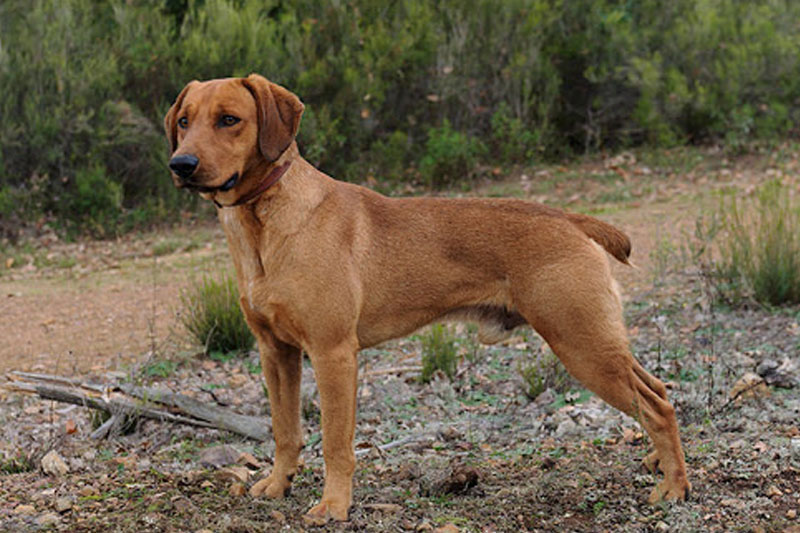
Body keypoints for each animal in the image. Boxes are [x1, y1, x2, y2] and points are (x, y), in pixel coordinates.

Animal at [166, 72, 692, 520]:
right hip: (598, 341)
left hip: (582, 345)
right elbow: (285, 431)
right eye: (185, 121)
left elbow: (335, 443)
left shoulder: (333, 354)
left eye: (229, 119)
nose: (181, 165)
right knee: (657, 391)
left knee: (659, 407)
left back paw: (674, 487)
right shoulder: (276, 352)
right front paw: (278, 485)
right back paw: (658, 463)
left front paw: (333, 506)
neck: (265, 224)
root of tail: (569, 218)